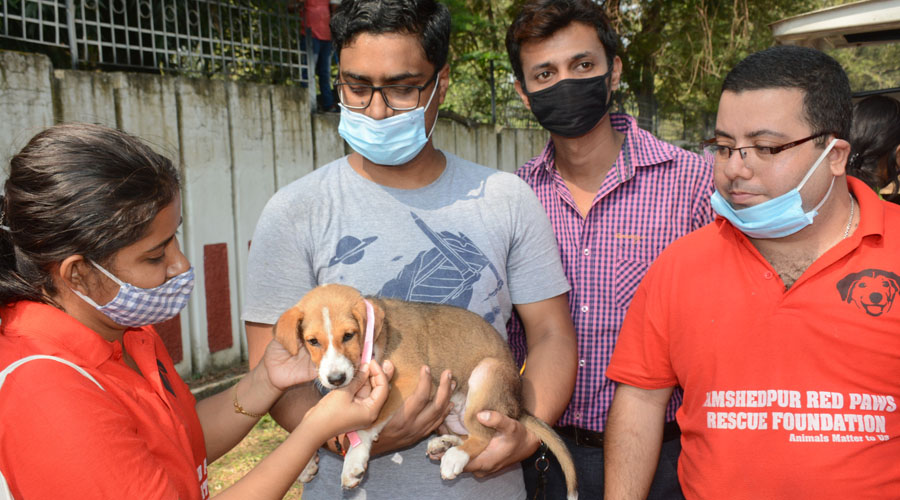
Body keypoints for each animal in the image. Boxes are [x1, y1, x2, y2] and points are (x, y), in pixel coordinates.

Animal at [270, 284, 576, 498]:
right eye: (312, 341)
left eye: (349, 335)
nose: (335, 379)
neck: (378, 338)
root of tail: (517, 406)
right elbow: (312, 416)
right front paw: (307, 462)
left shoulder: (407, 381)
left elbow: (369, 422)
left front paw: (354, 460)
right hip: (455, 415)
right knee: (469, 432)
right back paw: (445, 443)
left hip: (486, 374)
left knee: (484, 436)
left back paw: (456, 456)